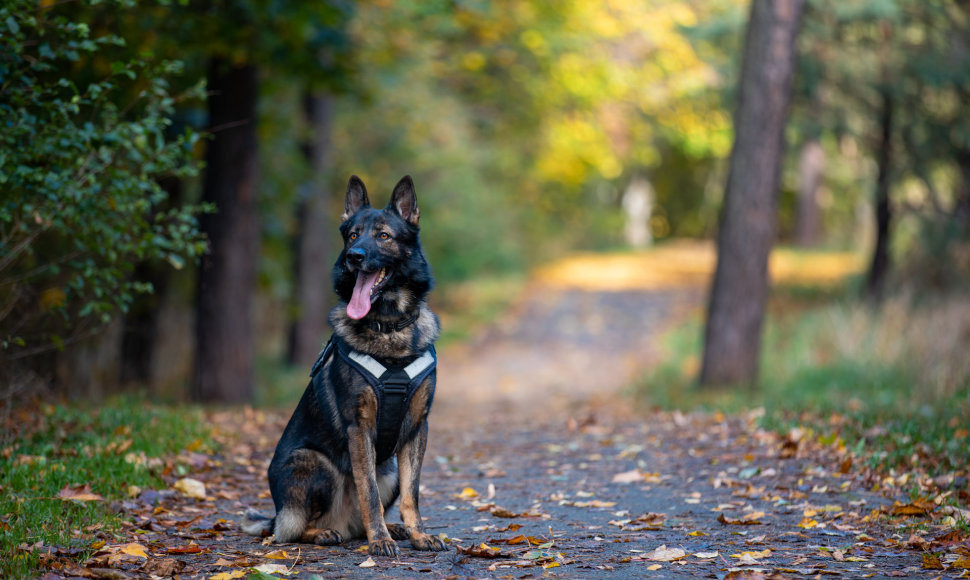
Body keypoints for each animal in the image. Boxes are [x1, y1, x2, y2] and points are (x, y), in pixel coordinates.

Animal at [246, 174, 450, 556]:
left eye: (383, 236)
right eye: (353, 235)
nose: (355, 257)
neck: (388, 326)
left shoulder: (418, 428)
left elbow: (412, 493)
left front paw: (418, 534)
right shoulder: (360, 428)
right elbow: (367, 492)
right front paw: (380, 540)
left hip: (389, 469)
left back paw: (391, 529)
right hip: (312, 462)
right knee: (291, 530)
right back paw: (328, 533)